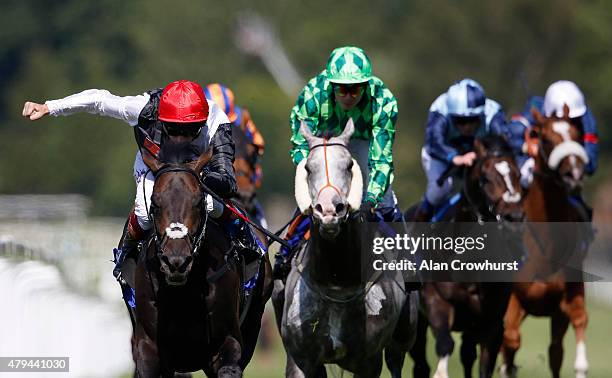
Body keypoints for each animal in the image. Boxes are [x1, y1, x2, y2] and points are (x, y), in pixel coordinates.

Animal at [133, 144, 272, 376]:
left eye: (198, 201)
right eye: (154, 202)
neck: (184, 294)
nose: (176, 261)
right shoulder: (148, 348)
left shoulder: (228, 342)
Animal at [274, 120, 418, 378]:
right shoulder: (300, 358)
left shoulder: (368, 362)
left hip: (403, 335)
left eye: (349, 165)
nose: (330, 210)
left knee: (396, 360)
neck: (336, 280)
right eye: (308, 167)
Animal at [408, 135, 524, 378]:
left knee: (467, 354)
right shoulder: (436, 301)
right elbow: (445, 345)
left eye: (517, 175)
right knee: (420, 361)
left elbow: (484, 363)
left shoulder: (491, 320)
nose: (514, 216)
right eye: (485, 178)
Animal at [500, 105, 592, 378]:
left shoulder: (568, 300)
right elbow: (510, 340)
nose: (574, 174)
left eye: (577, 135)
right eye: (546, 139)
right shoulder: (513, 301)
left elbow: (579, 322)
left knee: (554, 350)